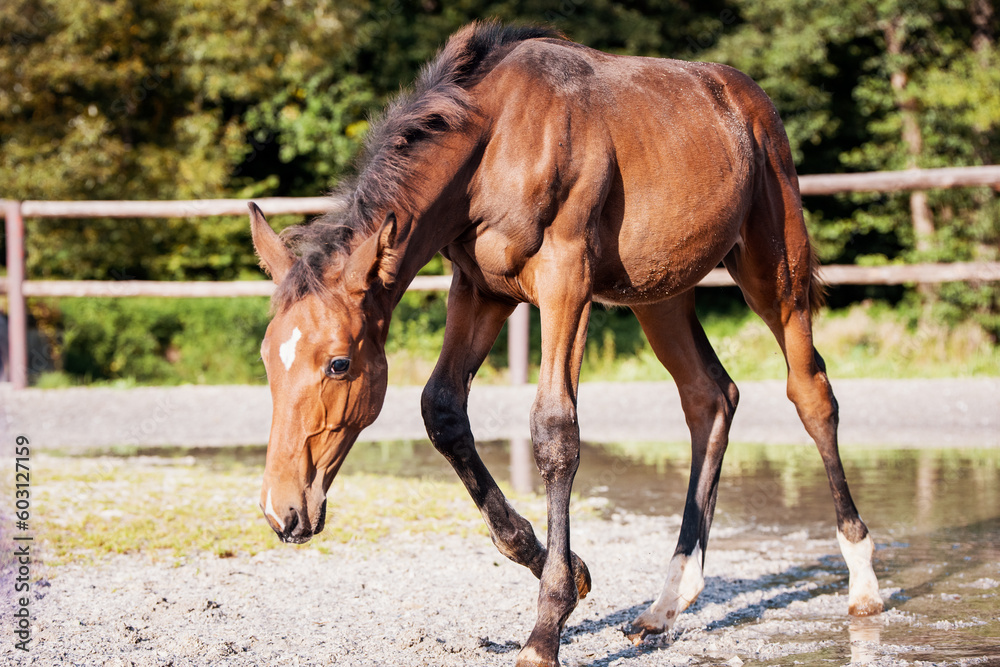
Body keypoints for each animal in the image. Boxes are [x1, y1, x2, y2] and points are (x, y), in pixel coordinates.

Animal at [247, 21, 883, 667]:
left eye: (338, 364)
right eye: (268, 362)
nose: (282, 511)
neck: (494, 141)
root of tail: (749, 99)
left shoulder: (565, 280)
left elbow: (555, 430)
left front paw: (546, 628)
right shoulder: (480, 290)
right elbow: (442, 410)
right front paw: (569, 570)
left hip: (773, 272)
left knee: (810, 393)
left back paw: (862, 582)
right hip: (659, 294)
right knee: (710, 398)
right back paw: (666, 604)